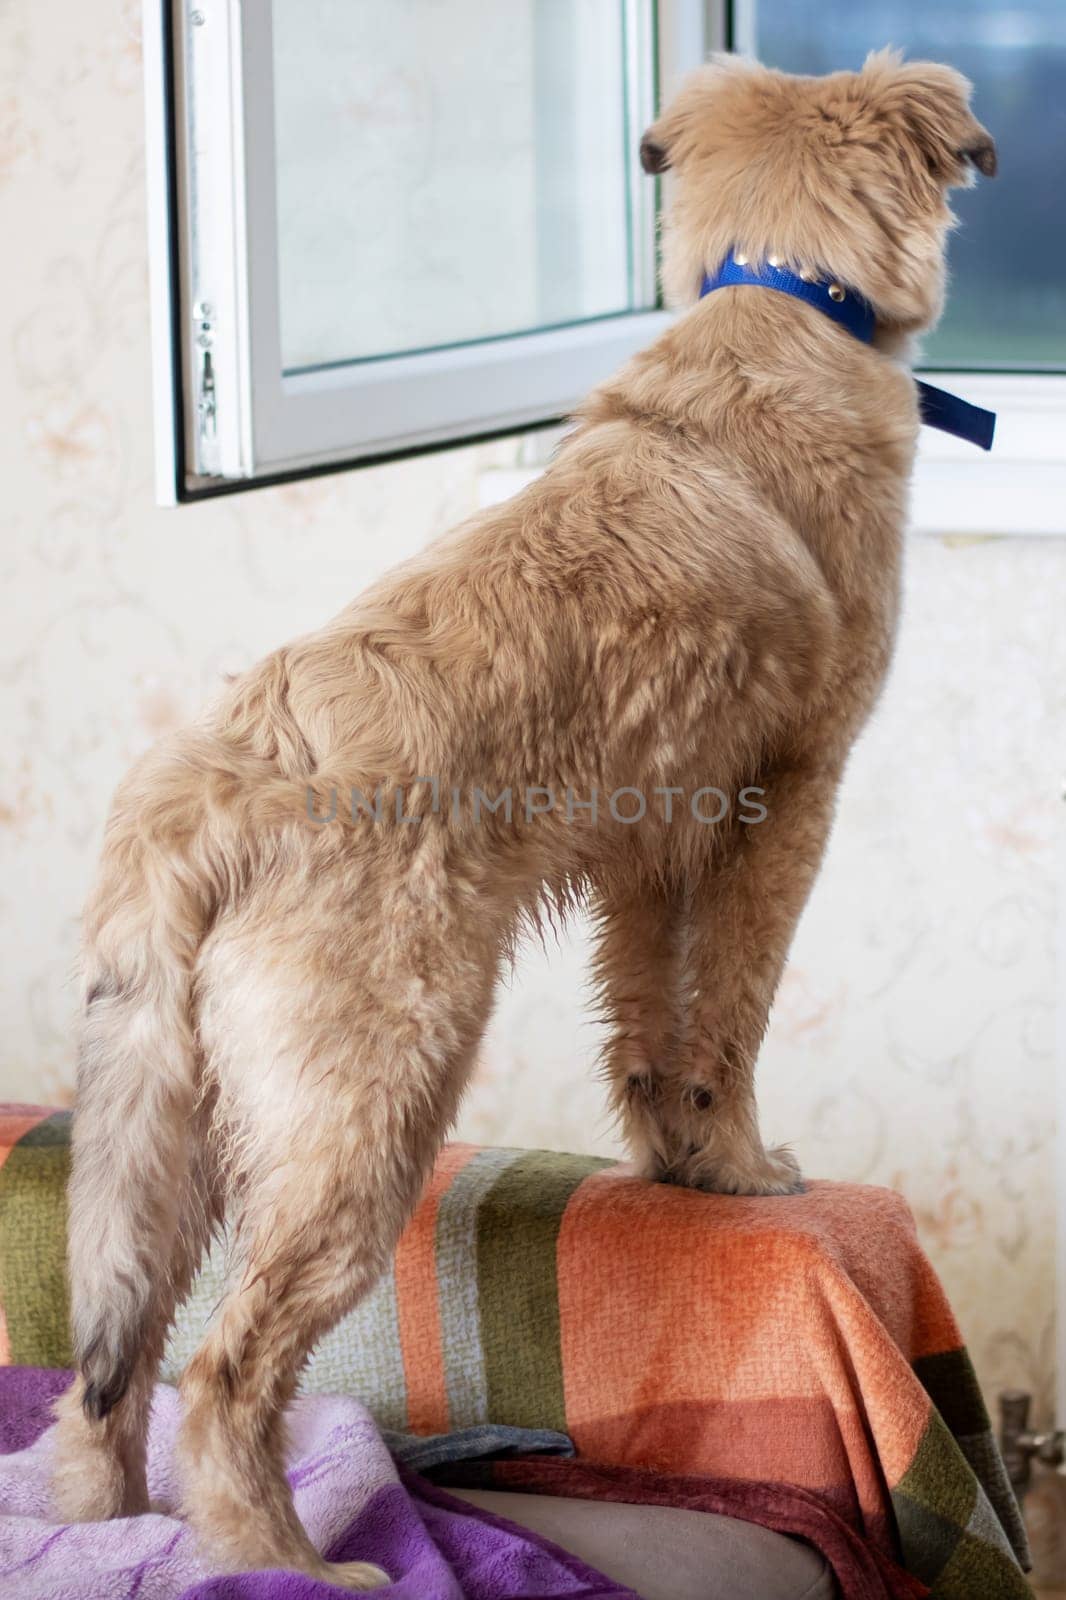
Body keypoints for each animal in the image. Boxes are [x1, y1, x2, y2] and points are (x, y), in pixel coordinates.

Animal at [54, 46, 992, 1587]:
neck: (788, 300)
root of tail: (213, 786)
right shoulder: (785, 800)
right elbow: (730, 1020)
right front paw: (742, 1173)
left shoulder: (654, 846)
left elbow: (652, 1025)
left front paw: (675, 1169)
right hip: (363, 1112)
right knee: (223, 1371)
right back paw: (290, 1561)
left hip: (159, 1131)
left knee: (106, 1378)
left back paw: (114, 1536)